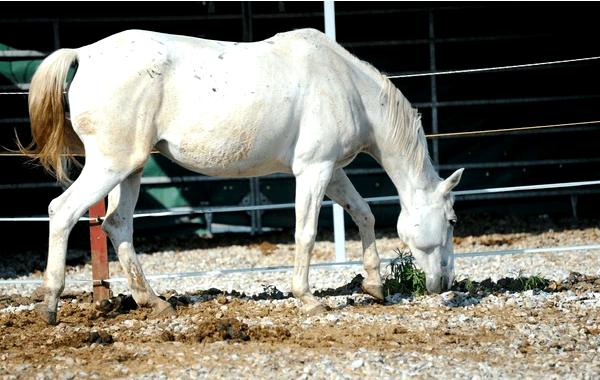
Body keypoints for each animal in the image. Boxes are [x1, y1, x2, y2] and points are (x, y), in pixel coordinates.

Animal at [22, 29, 464, 324]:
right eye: (452, 221)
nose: (445, 283)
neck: (346, 85)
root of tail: (84, 54)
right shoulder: (314, 170)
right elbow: (306, 233)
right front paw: (308, 298)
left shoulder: (332, 170)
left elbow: (364, 214)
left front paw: (374, 286)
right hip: (109, 166)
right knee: (62, 211)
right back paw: (51, 305)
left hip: (131, 169)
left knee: (117, 225)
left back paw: (155, 302)